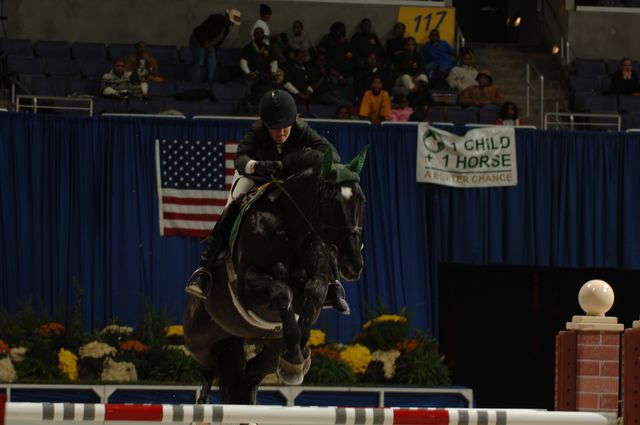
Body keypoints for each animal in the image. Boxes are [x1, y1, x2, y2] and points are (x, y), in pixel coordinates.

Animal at [182, 146, 368, 404]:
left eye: (362, 200)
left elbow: (314, 291)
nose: (354, 264)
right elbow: (282, 292)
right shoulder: (247, 287)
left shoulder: (316, 281)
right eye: (329, 200)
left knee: (249, 373)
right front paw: (297, 352)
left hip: (263, 346)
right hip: (198, 338)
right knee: (209, 366)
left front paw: (300, 351)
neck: (290, 229)